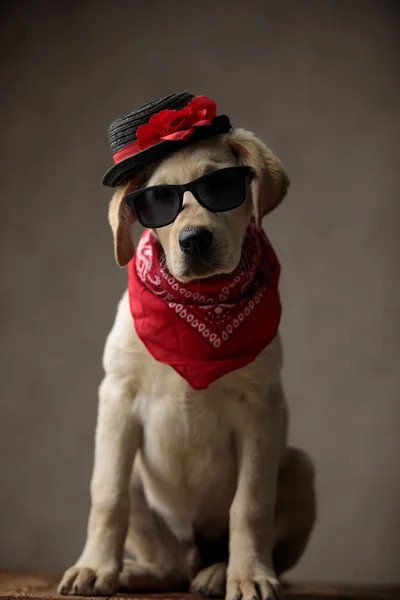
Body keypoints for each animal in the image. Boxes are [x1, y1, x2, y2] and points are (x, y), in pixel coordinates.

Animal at [58, 125, 316, 596]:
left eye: (222, 188)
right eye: (160, 200)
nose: (194, 239)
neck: (198, 306)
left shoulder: (260, 408)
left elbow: (250, 504)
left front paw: (250, 575)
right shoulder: (117, 398)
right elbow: (107, 494)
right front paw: (94, 566)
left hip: (298, 469)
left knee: (233, 554)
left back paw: (221, 572)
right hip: (140, 478)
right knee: (171, 565)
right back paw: (131, 571)